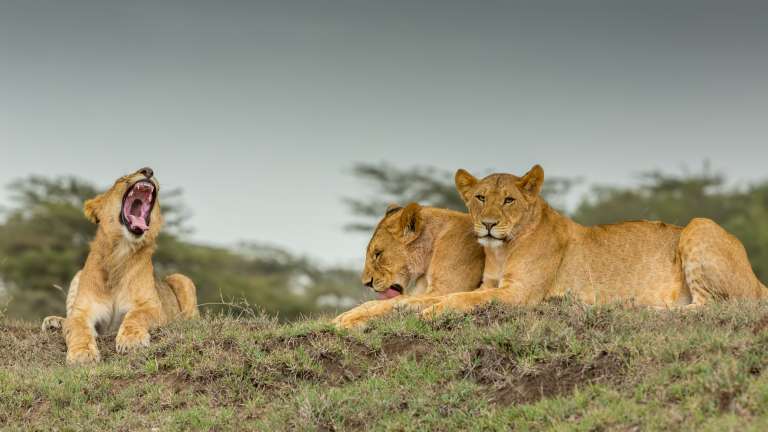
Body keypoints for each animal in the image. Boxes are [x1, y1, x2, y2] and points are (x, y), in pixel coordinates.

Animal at [41, 167, 199, 365]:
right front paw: (82, 354)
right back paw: (53, 322)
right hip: (78, 275)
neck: (120, 252)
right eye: (122, 179)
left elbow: (136, 316)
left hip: (181, 279)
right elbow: (77, 327)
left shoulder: (152, 306)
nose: (148, 170)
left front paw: (132, 341)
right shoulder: (82, 311)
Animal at [332, 203, 485, 328]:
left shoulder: (445, 289)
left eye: (378, 253)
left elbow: (393, 302)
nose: (366, 283)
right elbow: (373, 303)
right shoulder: (422, 290)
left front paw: (350, 320)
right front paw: (340, 317)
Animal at [421, 165, 768, 317]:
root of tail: (757, 278)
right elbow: (454, 294)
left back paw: (644, 307)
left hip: (700, 224)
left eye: (508, 200)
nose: (489, 225)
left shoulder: (520, 293)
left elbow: (464, 299)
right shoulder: (491, 285)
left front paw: (432, 311)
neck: (500, 251)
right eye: (480, 198)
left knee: (711, 305)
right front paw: (419, 306)